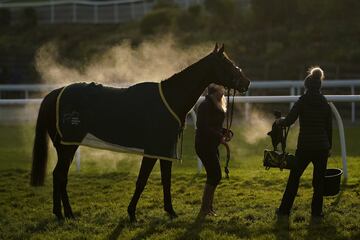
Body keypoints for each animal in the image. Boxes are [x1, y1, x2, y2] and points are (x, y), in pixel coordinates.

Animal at [30, 43, 250, 221]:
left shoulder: (165, 149)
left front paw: (170, 211)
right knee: (60, 175)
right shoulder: (153, 149)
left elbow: (166, 180)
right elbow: (142, 180)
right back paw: (68, 214)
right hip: (68, 144)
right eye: (227, 63)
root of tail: (54, 94)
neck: (171, 98)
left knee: (59, 175)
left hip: (66, 145)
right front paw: (132, 213)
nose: (246, 82)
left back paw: (61, 213)